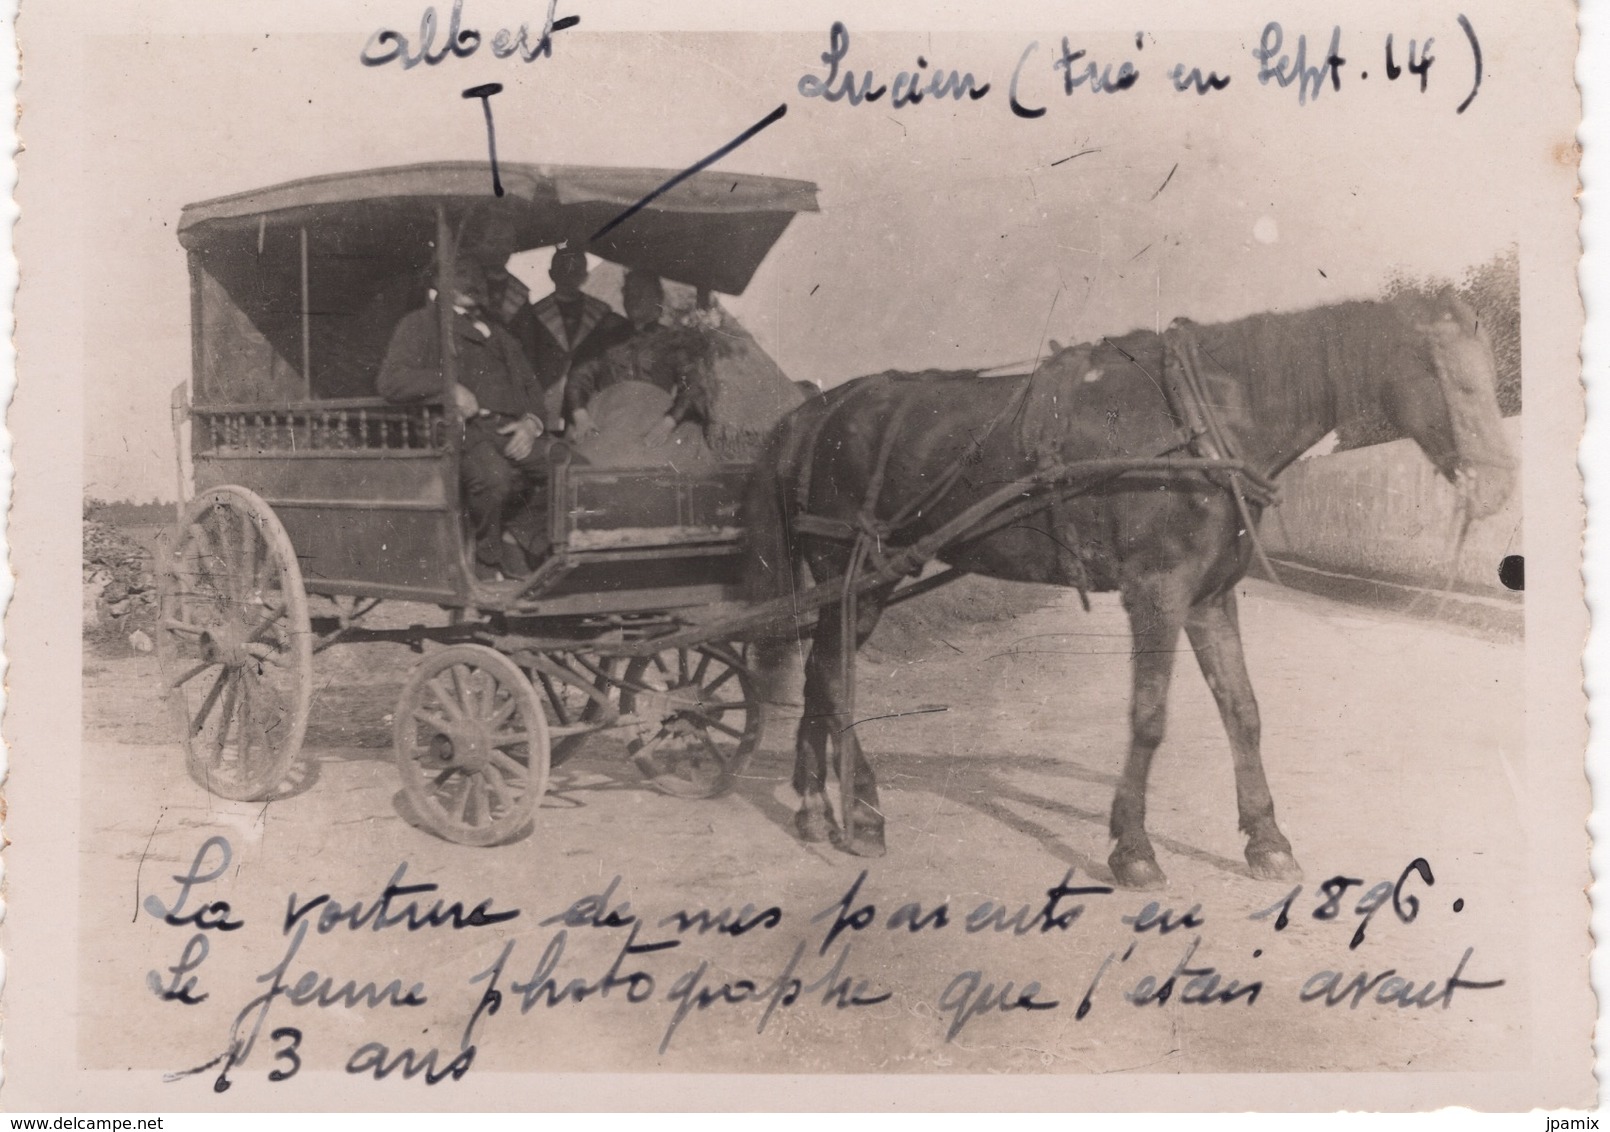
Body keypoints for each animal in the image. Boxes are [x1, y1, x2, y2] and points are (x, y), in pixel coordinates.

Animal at [747, 288, 1513, 888]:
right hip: (854, 572)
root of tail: (814, 412)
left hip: (848, 583)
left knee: (818, 673)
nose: (1500, 487)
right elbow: (1149, 719)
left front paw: (1267, 840)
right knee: (834, 676)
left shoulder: (1209, 598)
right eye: (1449, 375)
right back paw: (862, 812)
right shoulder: (1157, 591)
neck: (1205, 422)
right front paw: (1134, 849)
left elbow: (1244, 712)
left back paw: (815, 807)